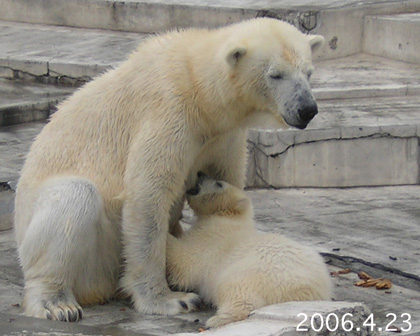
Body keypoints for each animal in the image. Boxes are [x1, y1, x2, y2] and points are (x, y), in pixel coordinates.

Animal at [12, 17, 322, 320]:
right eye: (276, 74)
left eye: (308, 73)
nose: (307, 109)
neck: (199, 86)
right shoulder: (168, 112)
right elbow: (148, 196)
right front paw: (171, 300)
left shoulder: (223, 135)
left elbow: (226, 179)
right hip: (77, 252)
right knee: (74, 196)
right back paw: (56, 303)